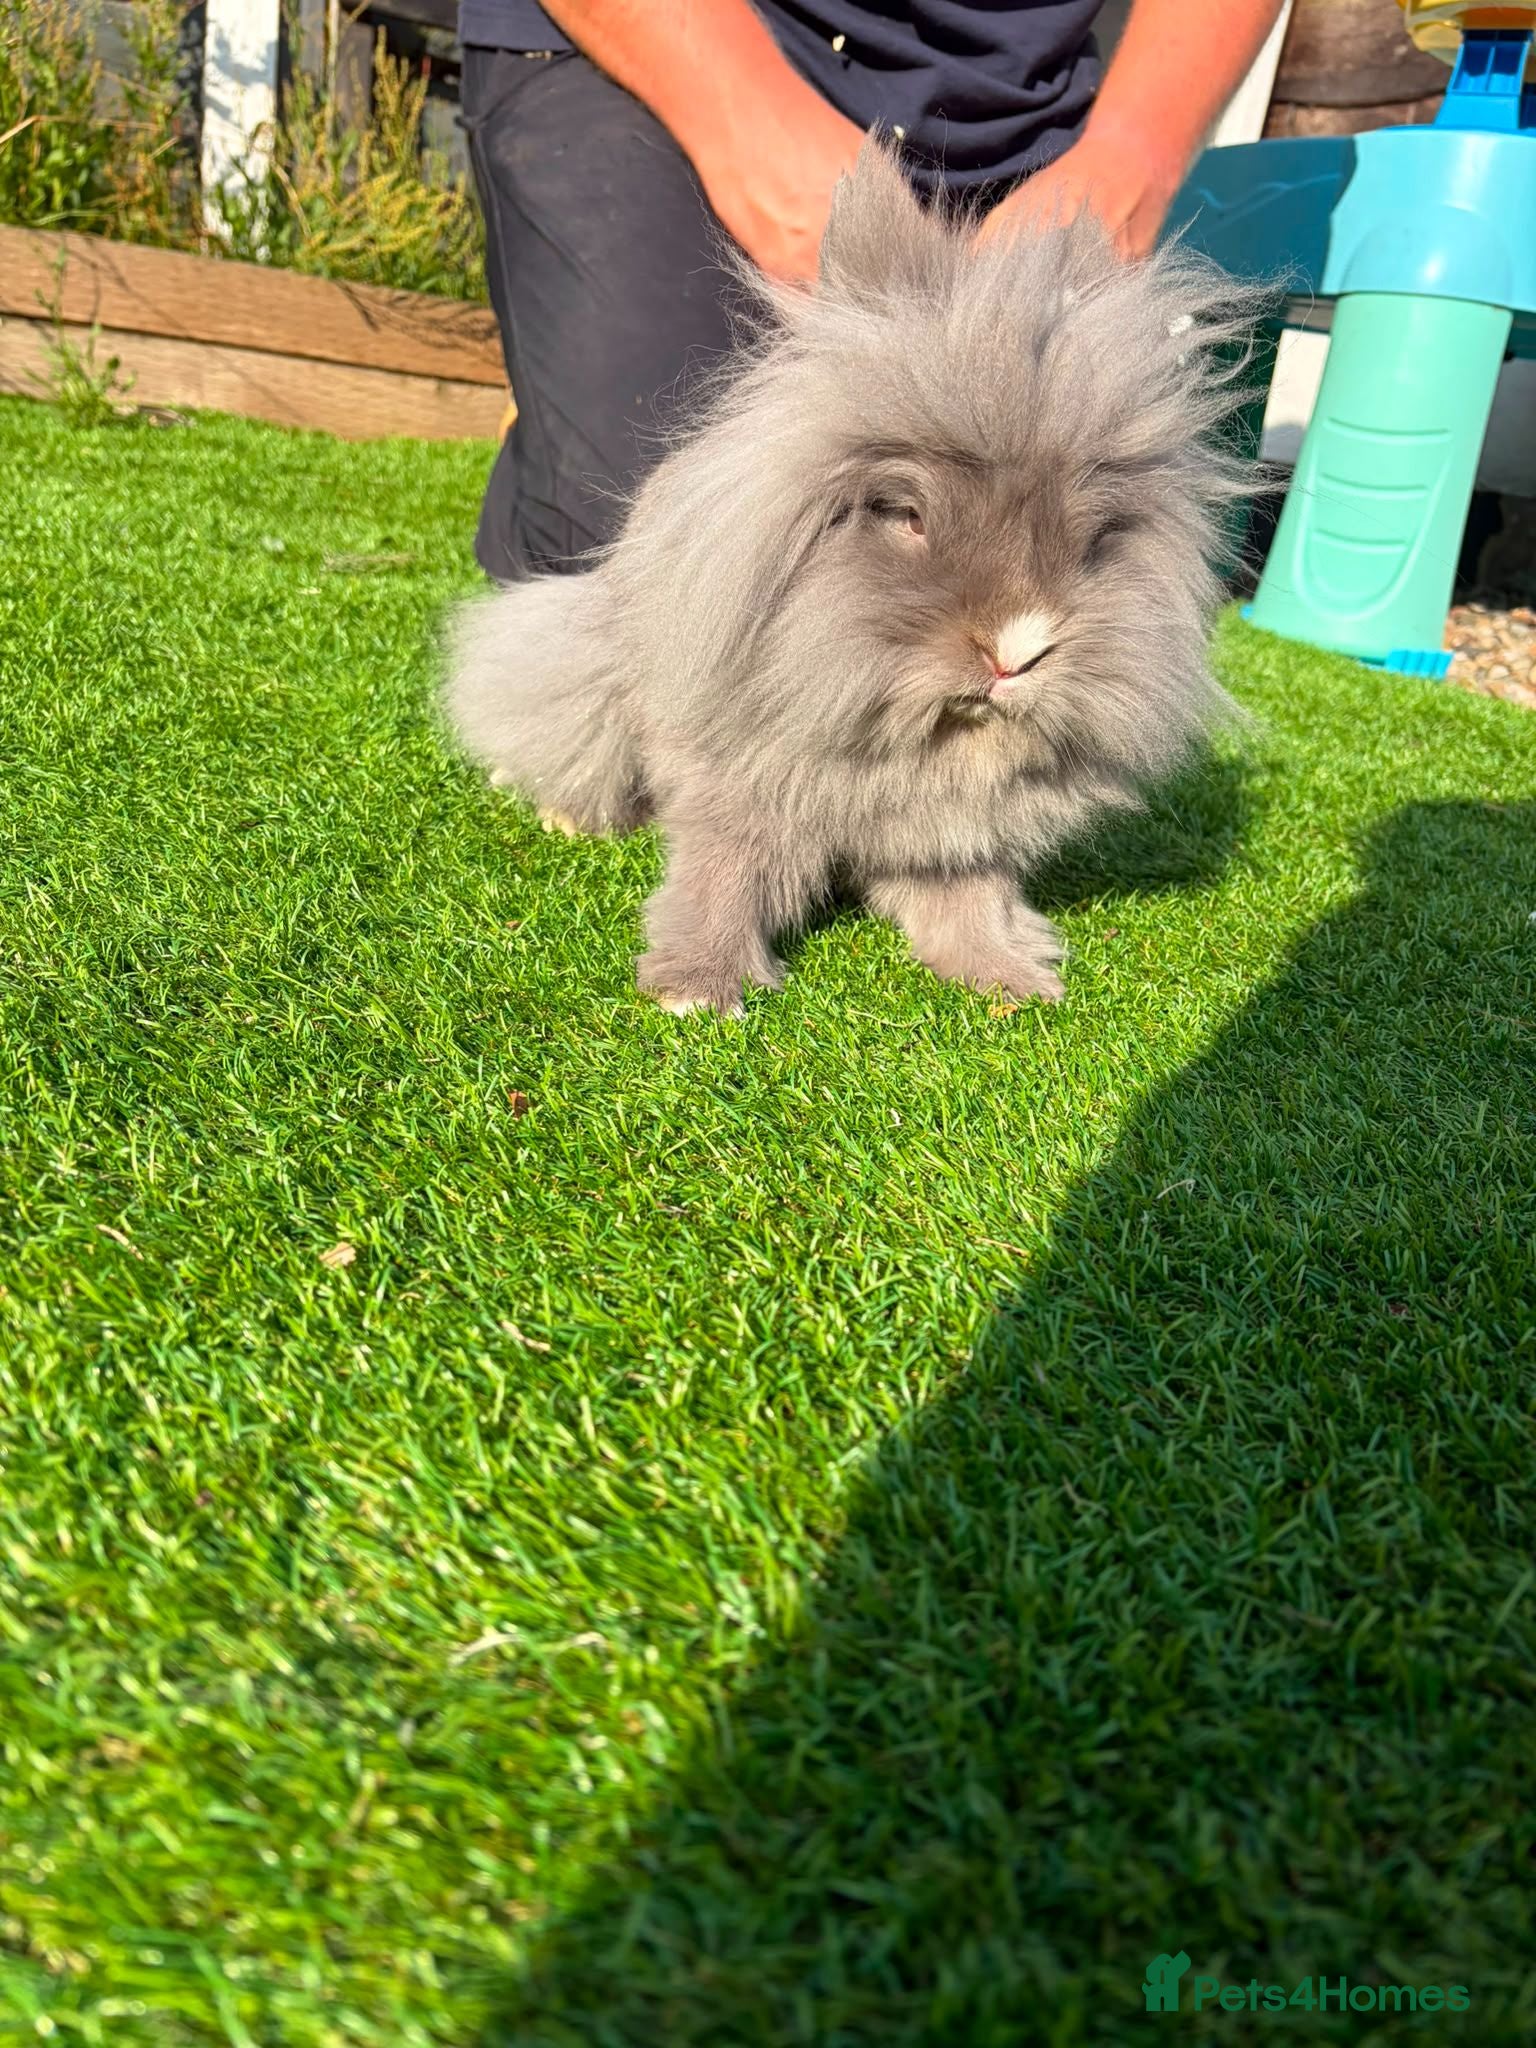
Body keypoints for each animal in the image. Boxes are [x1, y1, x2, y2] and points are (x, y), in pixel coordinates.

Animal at [445, 138, 1258, 1017]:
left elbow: (968, 900)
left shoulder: (952, 838)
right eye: (905, 514)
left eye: (1095, 539)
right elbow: (722, 879)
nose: (1016, 650)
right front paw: (697, 989)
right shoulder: (737, 793)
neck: (927, 744)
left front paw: (1010, 982)